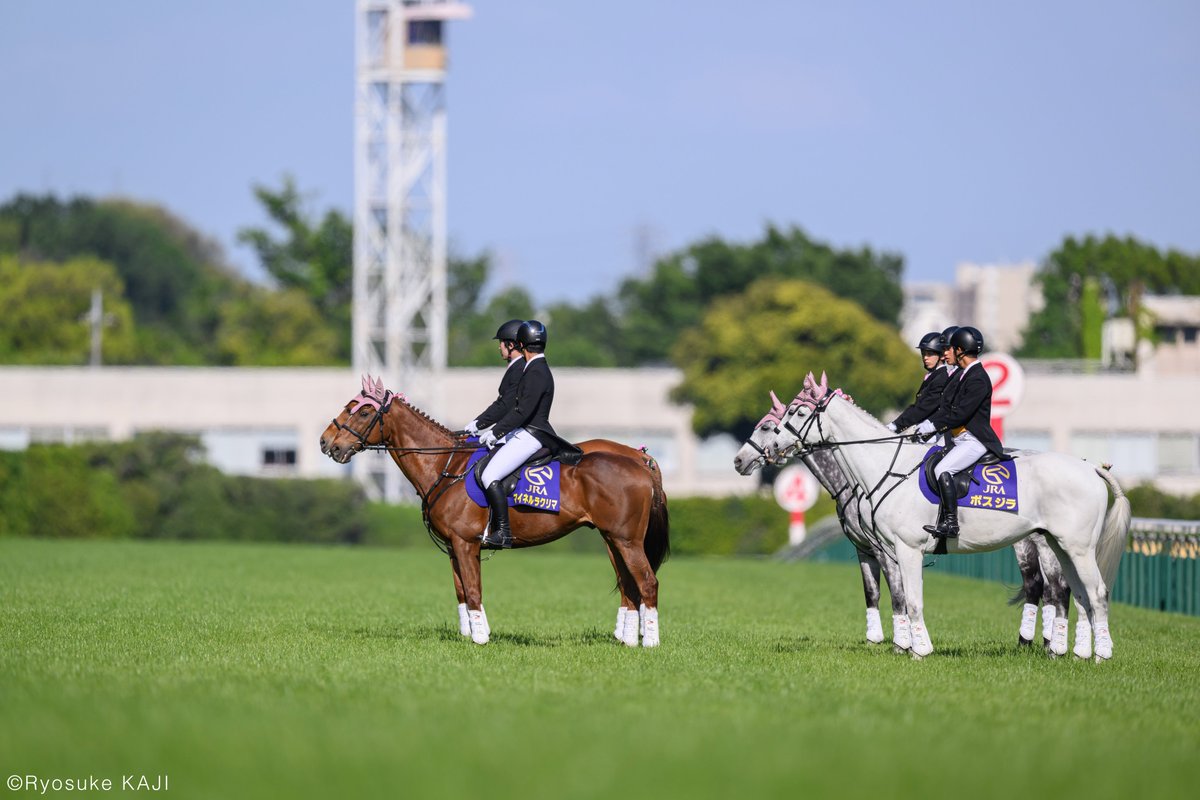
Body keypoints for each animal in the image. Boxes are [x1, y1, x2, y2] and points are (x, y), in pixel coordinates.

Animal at [320, 376, 670, 647]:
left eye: (364, 411)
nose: (327, 443)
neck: (446, 464)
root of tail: (640, 460)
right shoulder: (454, 548)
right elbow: (461, 591)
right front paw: (472, 633)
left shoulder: (465, 543)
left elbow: (473, 590)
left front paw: (480, 639)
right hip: (613, 540)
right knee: (629, 585)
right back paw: (627, 639)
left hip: (626, 541)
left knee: (647, 583)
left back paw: (650, 642)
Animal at [765, 372, 1129, 660]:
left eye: (798, 411)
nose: (773, 448)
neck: (886, 465)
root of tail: (1091, 468)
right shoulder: (889, 550)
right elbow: (902, 596)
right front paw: (909, 645)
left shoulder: (907, 549)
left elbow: (911, 600)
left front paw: (918, 651)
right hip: (1061, 545)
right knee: (1079, 594)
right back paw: (1077, 653)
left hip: (1077, 548)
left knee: (1095, 593)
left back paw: (1100, 654)